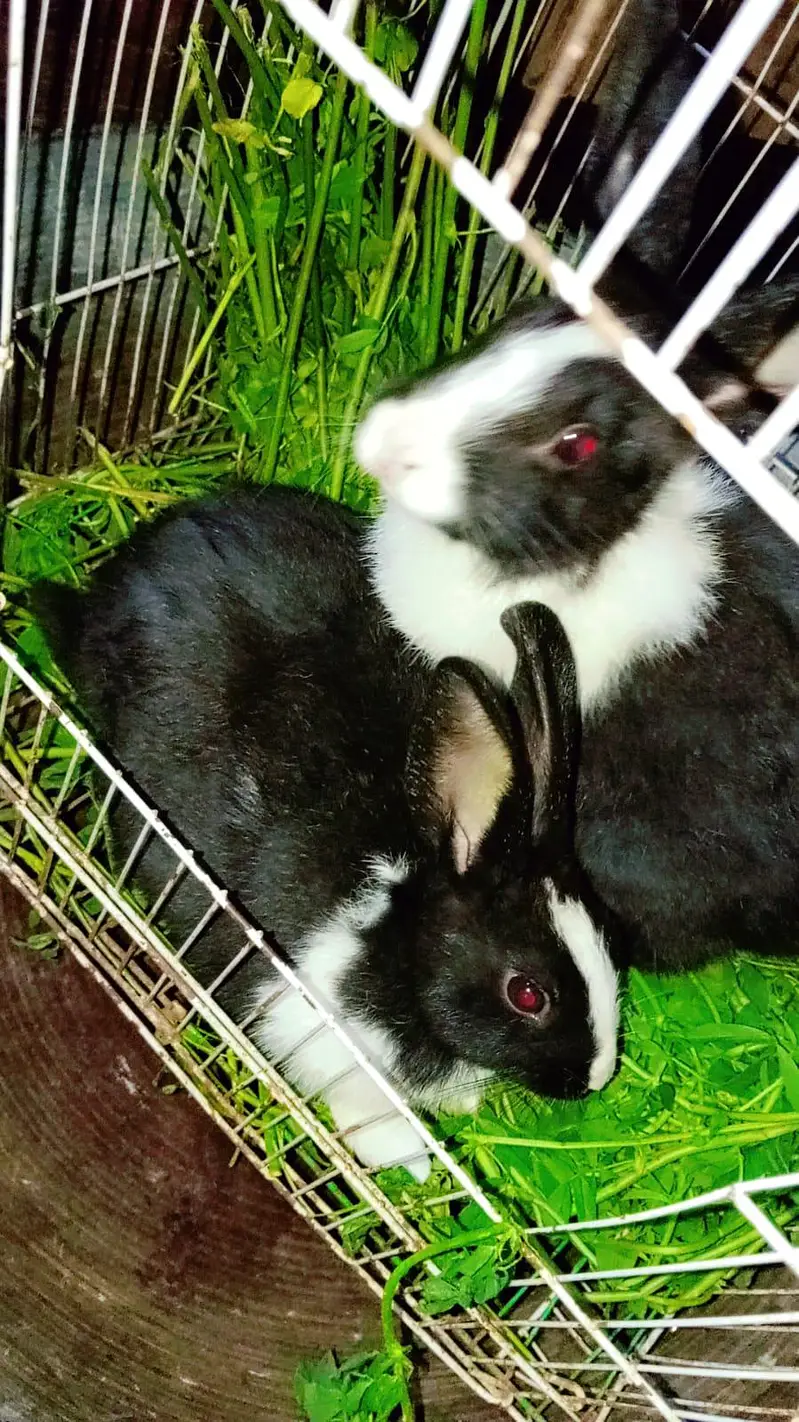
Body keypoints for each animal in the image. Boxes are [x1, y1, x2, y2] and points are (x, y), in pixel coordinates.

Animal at [32, 485, 622, 1181]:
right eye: (528, 995)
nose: (596, 1079)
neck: (396, 945)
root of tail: (114, 579)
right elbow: (359, 1110)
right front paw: (411, 1161)